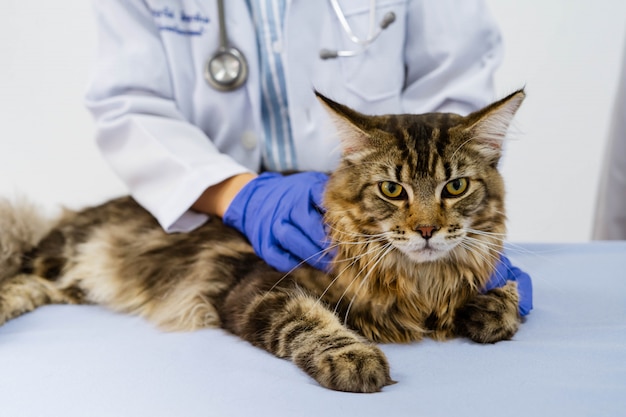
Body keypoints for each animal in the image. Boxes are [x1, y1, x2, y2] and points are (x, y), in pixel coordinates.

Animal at [0, 89, 524, 392]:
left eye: (455, 187)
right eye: (392, 190)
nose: (427, 230)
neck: (417, 281)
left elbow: (505, 290)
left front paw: (489, 308)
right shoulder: (258, 288)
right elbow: (311, 323)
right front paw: (354, 357)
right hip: (62, 256)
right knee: (17, 275)